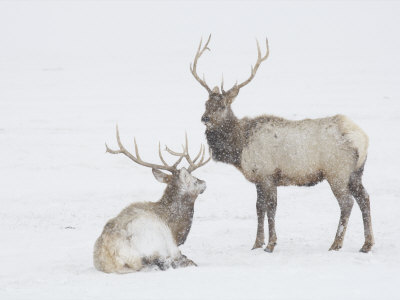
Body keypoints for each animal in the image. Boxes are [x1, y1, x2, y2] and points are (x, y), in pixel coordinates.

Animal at [93, 127, 209, 274]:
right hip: (150, 240)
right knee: (160, 262)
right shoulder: (171, 245)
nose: (204, 182)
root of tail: (112, 258)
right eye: (194, 180)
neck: (175, 229)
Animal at [189, 36, 374, 254]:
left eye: (223, 105)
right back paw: (367, 244)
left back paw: (336, 244)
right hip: (356, 172)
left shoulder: (268, 174)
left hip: (337, 171)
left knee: (347, 202)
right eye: (206, 103)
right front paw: (257, 243)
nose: (205, 118)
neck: (240, 147)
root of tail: (361, 139)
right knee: (365, 198)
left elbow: (271, 208)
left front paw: (270, 244)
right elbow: (259, 208)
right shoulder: (259, 178)